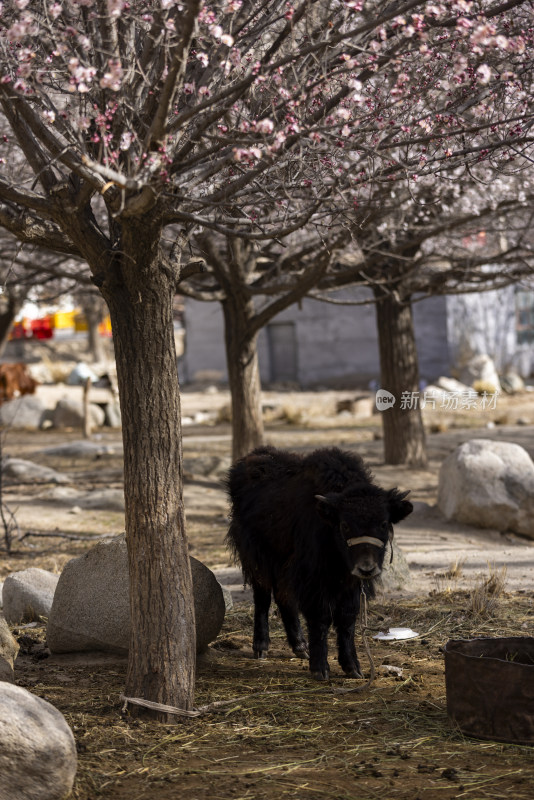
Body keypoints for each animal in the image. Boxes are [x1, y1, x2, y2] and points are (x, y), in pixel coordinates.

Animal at [226, 446, 414, 680]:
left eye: (384, 523)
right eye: (345, 525)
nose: (366, 568)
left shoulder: (350, 585)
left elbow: (347, 619)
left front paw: (353, 667)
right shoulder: (313, 579)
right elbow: (320, 618)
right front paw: (320, 668)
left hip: (282, 565)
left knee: (284, 597)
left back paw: (300, 647)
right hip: (257, 557)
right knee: (263, 597)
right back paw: (261, 647)